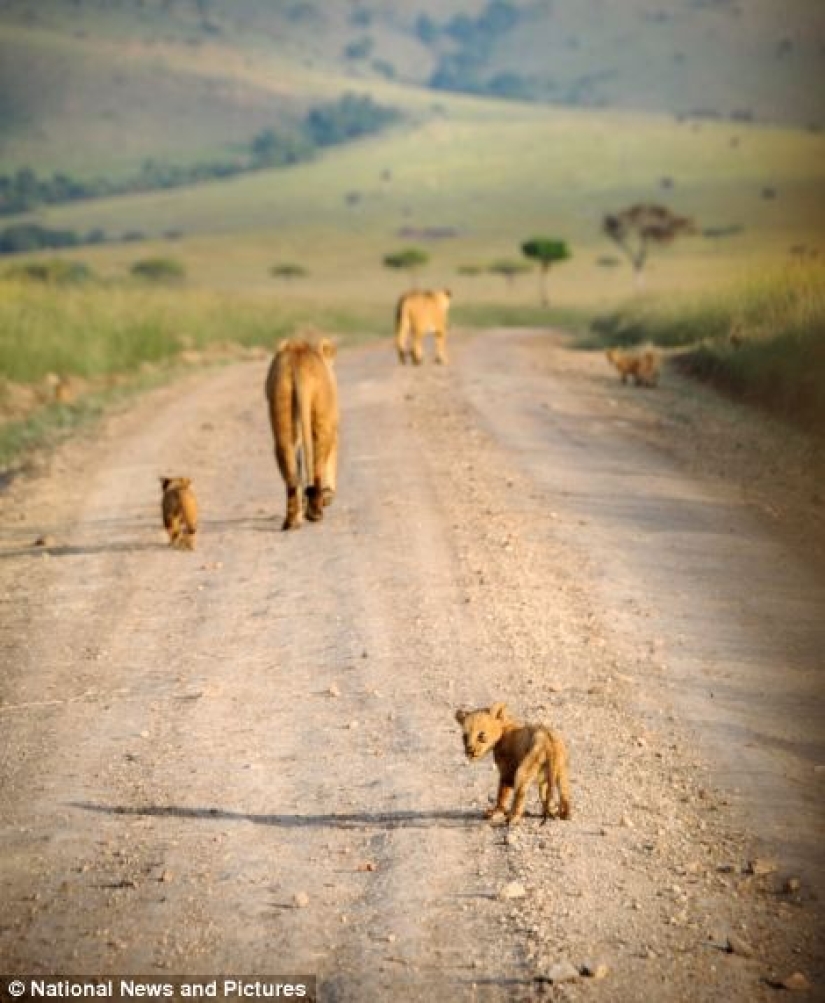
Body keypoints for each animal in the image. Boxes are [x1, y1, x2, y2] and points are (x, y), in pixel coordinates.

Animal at [264, 337, 339, 531]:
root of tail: (297, 362)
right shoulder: (333, 426)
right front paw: (329, 496)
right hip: (322, 419)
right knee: (318, 469)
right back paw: (315, 512)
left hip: (281, 407)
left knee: (292, 475)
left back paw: (292, 521)